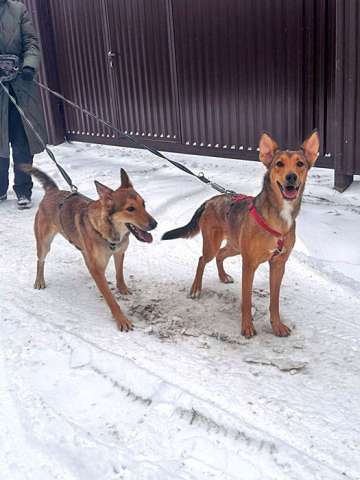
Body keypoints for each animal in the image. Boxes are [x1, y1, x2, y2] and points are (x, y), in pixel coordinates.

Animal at [162, 131, 320, 338]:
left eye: (300, 163)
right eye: (279, 164)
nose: (291, 177)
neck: (279, 216)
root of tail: (210, 200)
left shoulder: (278, 265)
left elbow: (274, 301)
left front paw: (277, 325)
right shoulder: (249, 264)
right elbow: (246, 299)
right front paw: (247, 327)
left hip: (234, 245)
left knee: (220, 255)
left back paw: (223, 277)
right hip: (213, 244)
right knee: (202, 259)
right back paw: (196, 288)